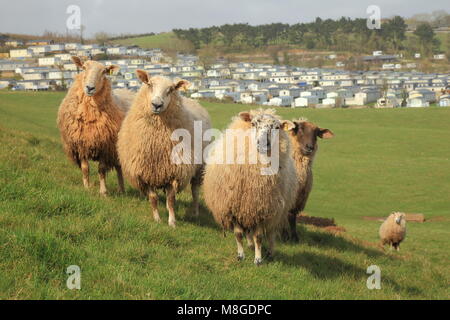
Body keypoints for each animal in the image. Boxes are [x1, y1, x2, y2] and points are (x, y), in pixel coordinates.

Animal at [56, 56, 134, 195]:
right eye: (83, 67)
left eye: (104, 72)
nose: (89, 87)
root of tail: (127, 90)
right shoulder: (81, 144)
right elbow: (85, 168)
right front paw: (87, 188)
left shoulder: (105, 146)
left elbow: (101, 169)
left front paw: (103, 191)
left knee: (119, 168)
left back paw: (121, 190)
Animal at [118, 71, 213, 228]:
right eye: (150, 84)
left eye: (171, 89)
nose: (157, 105)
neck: (157, 144)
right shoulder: (145, 174)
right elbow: (153, 198)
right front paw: (157, 219)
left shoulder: (174, 173)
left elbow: (171, 200)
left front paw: (172, 222)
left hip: (199, 167)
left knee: (195, 191)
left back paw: (195, 212)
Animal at [204, 109, 298, 264]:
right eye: (253, 123)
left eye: (277, 127)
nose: (263, 143)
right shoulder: (234, 208)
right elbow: (238, 234)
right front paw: (240, 255)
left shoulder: (263, 210)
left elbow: (259, 237)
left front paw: (258, 259)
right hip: (247, 210)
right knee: (248, 231)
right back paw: (249, 245)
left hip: (277, 212)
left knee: (271, 233)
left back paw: (270, 252)